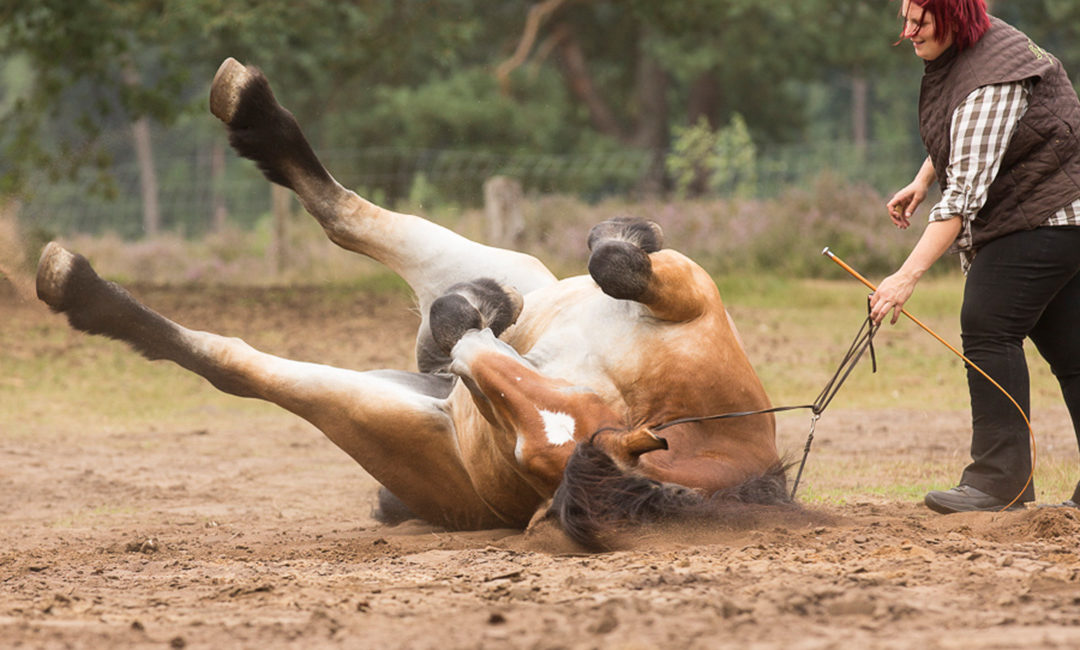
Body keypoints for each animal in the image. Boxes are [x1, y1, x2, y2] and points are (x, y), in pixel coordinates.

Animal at [33, 58, 794, 548]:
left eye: (524, 447)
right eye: (521, 423)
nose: (463, 338)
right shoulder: (688, 296)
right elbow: (614, 257)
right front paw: (624, 232)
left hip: (371, 407)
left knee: (239, 359)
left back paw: (78, 285)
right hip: (507, 274)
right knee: (353, 219)